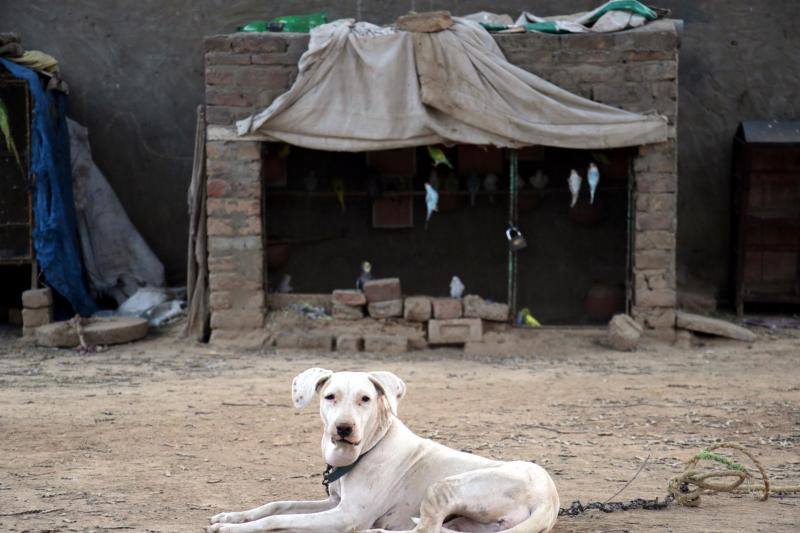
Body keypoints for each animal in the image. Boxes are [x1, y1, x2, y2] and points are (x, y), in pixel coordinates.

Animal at [206, 368, 560, 528]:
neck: (367, 450)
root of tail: (549, 497)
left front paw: (230, 528)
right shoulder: (334, 503)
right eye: (329, 396)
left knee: (426, 531)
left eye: (365, 398)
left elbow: (277, 521)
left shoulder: (347, 516)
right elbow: (277, 505)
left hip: (443, 488)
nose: (344, 429)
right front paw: (231, 516)